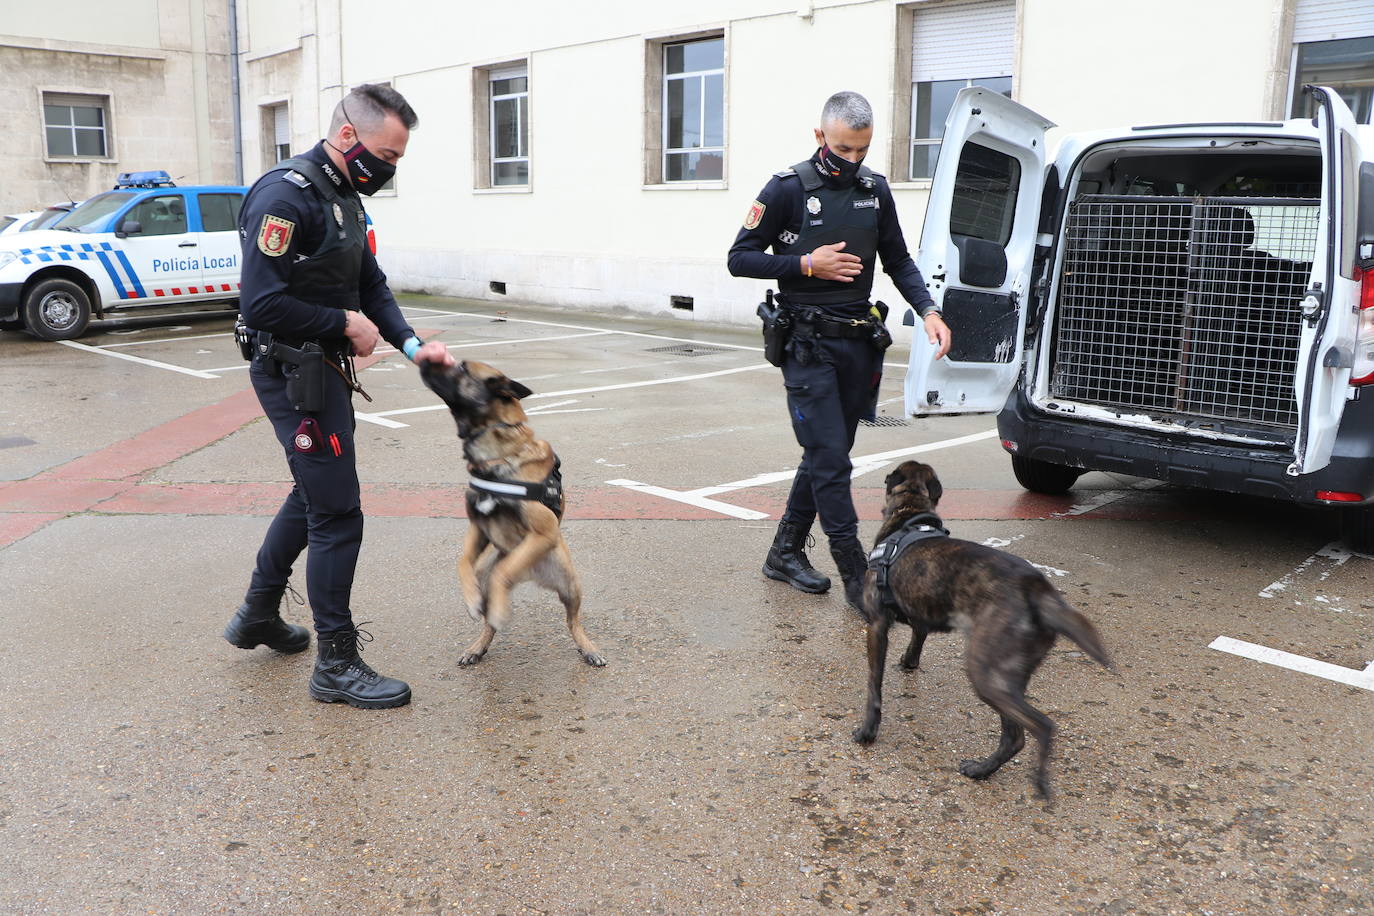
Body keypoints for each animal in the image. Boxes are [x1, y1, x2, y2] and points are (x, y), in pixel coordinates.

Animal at [414, 357, 604, 667]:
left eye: (462, 368)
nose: (424, 357)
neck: (496, 457)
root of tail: (531, 574)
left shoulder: (543, 532)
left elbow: (503, 572)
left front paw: (500, 609)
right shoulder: (477, 528)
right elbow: (462, 562)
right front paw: (472, 600)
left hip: (570, 582)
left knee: (572, 620)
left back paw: (588, 647)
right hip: (491, 569)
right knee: (487, 615)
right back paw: (478, 645)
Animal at [851, 461, 1110, 796]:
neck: (910, 516)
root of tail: (1036, 590)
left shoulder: (877, 625)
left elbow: (874, 686)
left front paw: (868, 731)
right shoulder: (920, 617)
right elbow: (916, 640)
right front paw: (909, 662)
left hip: (984, 673)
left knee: (1040, 726)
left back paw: (1036, 782)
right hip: (1008, 677)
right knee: (1015, 737)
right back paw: (982, 770)